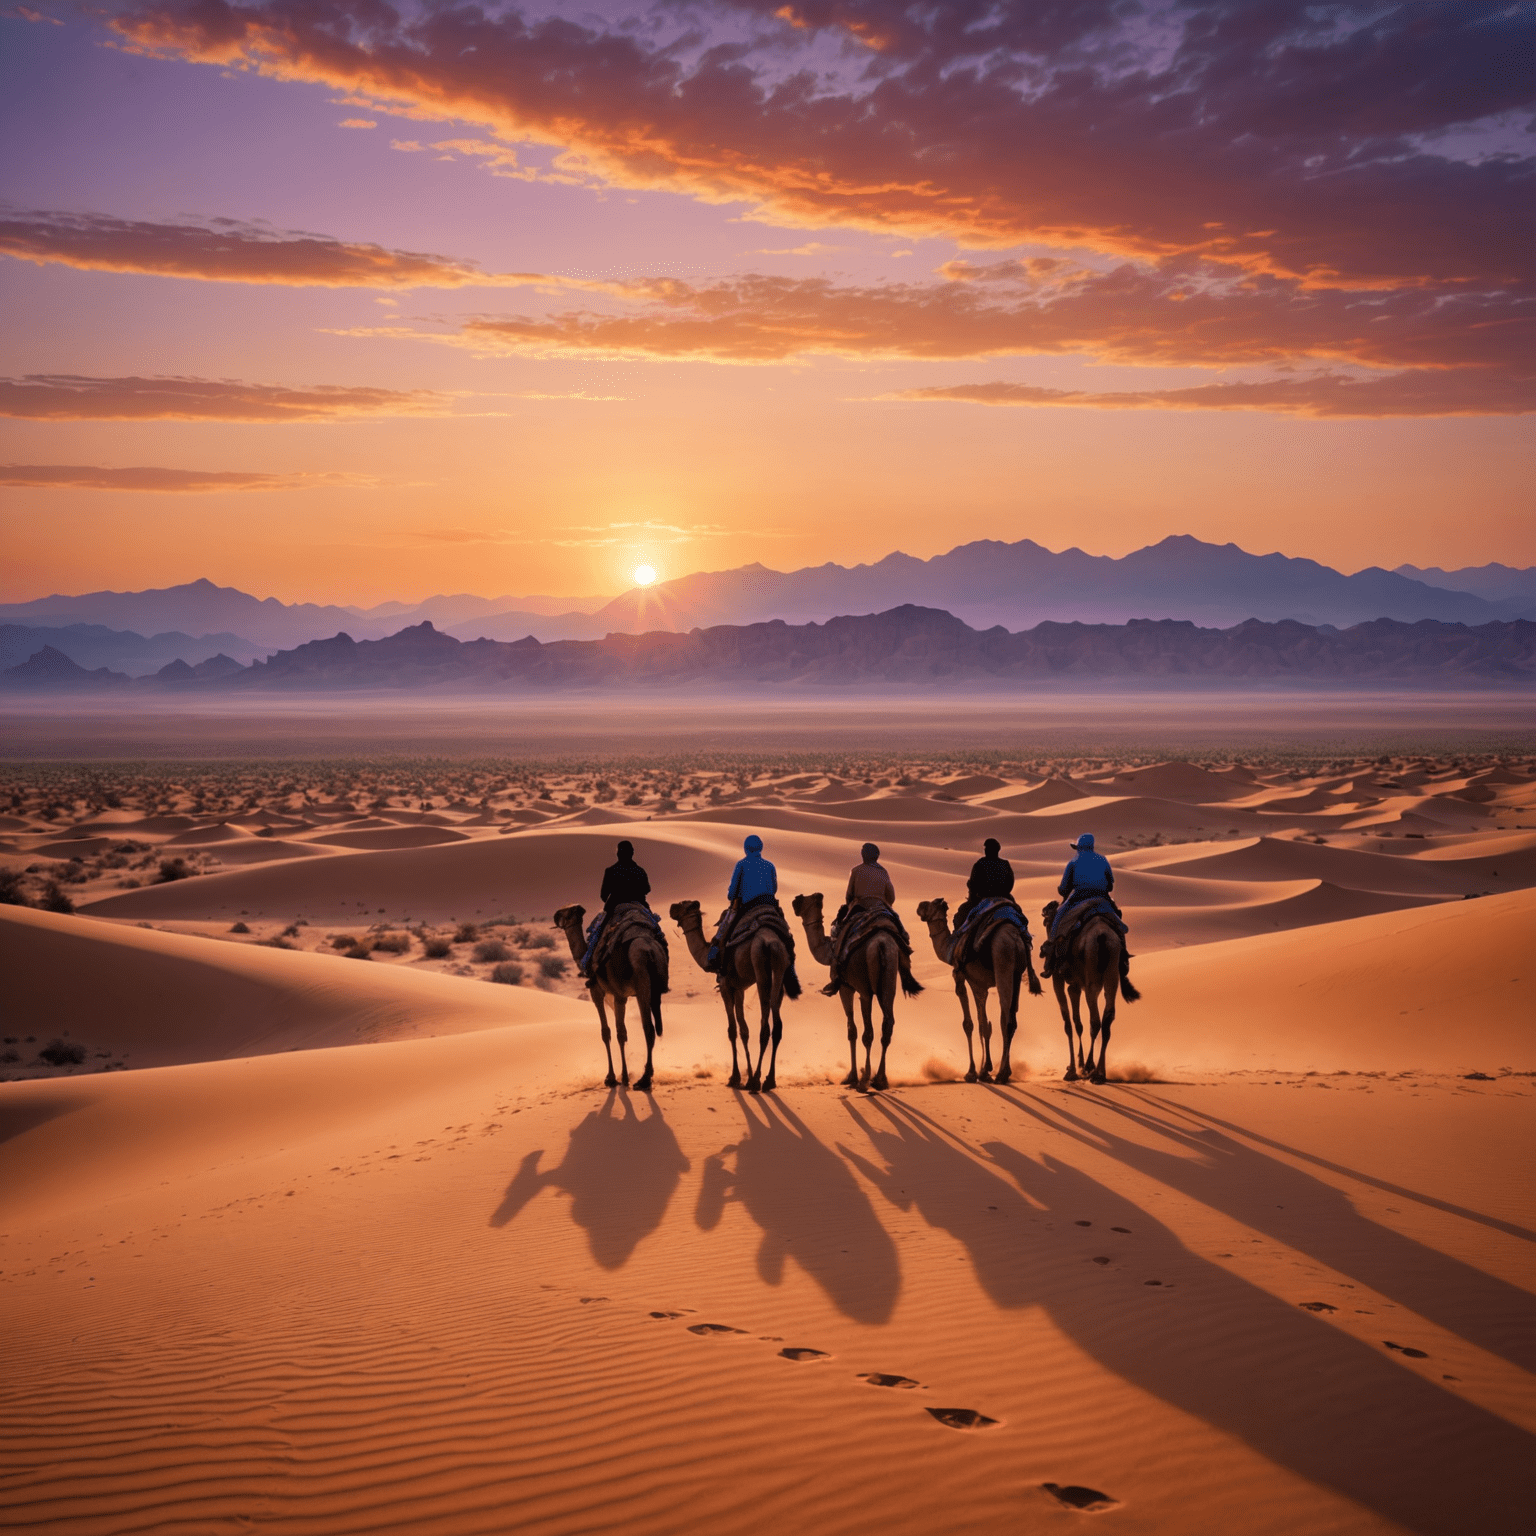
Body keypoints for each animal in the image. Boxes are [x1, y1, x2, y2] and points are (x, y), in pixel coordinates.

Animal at [556, 897, 669, 1093]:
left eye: (567, 913)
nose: (558, 918)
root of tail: (649, 950)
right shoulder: (618, 996)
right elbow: (619, 1033)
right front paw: (622, 1075)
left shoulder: (603, 992)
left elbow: (609, 1032)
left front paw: (615, 1077)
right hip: (651, 989)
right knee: (651, 1028)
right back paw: (647, 1076)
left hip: (639, 984)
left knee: (647, 1028)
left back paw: (644, 1079)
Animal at [672, 897, 804, 1093]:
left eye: (683, 905)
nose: (671, 908)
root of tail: (772, 943)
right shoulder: (739, 988)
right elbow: (744, 1030)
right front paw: (745, 1078)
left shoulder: (726, 986)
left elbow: (732, 1030)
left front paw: (735, 1078)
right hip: (780, 970)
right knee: (777, 1025)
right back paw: (769, 1080)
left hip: (760, 970)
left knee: (765, 1026)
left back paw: (757, 1081)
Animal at [792, 890, 921, 1093]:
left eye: (805, 900)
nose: (794, 901)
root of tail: (882, 945)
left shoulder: (846, 987)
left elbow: (851, 1030)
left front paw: (851, 1076)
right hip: (889, 983)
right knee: (888, 1024)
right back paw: (880, 1080)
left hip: (865, 989)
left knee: (868, 1032)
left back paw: (864, 1080)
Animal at [909, 897, 1044, 1087]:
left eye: (930, 904)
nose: (919, 906)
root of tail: (1016, 937)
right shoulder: (982, 986)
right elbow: (984, 1025)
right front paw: (985, 1071)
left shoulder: (963, 977)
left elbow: (970, 1024)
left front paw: (972, 1072)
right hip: (1017, 974)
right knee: (1012, 1017)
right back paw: (1005, 1072)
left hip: (1003, 963)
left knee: (1006, 1018)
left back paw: (1002, 1074)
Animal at [1038, 897, 1136, 1087]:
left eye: (1046, 922)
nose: (1044, 950)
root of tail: (1102, 938)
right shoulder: (1075, 986)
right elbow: (1078, 1023)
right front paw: (1079, 1064)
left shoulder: (1059, 980)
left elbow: (1069, 1023)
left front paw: (1073, 1069)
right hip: (1112, 975)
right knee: (1107, 1018)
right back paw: (1099, 1073)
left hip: (1093, 980)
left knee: (1095, 1020)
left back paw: (1091, 1067)